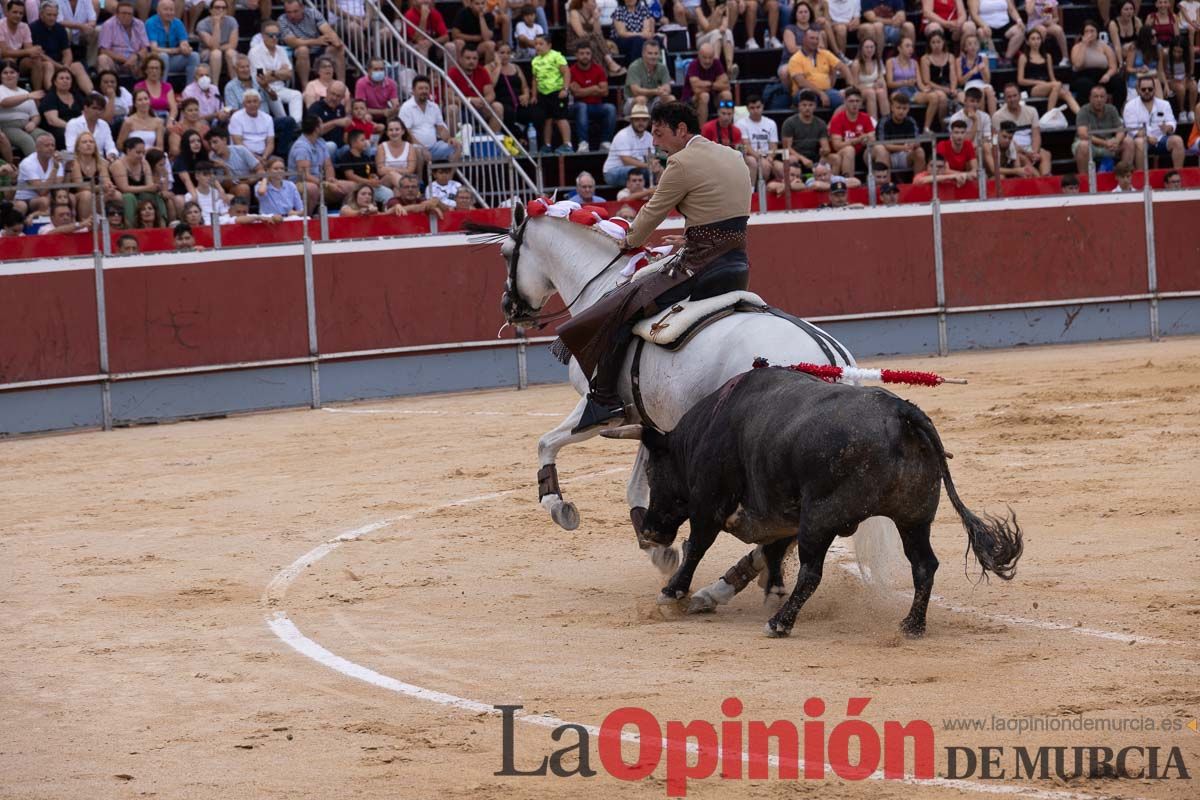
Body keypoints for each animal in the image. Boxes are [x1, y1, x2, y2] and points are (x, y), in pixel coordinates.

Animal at [484, 203, 892, 585]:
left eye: (505, 253)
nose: (508, 306)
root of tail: (830, 358)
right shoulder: (650, 422)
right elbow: (636, 486)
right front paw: (657, 546)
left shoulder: (599, 409)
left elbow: (546, 442)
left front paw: (559, 507)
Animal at [604, 367, 1027, 638]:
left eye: (654, 471)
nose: (651, 531)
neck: (704, 430)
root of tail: (902, 413)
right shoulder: (776, 513)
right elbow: (771, 550)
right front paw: (772, 588)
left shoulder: (710, 503)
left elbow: (697, 546)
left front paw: (672, 593)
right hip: (914, 516)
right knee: (924, 565)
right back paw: (912, 626)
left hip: (821, 518)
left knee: (812, 573)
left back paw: (780, 624)